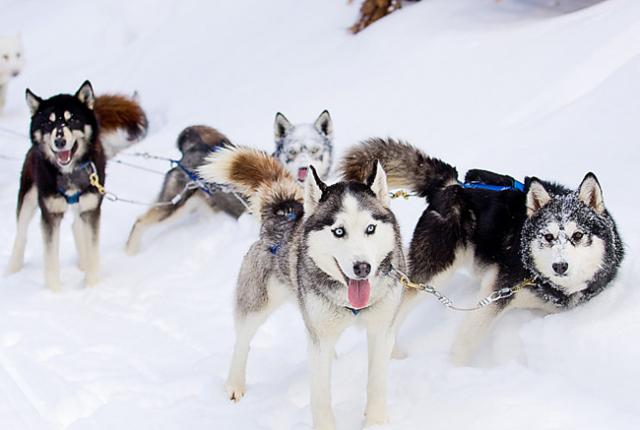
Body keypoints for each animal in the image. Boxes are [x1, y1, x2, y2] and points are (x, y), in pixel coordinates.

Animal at [5, 80, 106, 292]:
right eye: (49, 123)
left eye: (72, 119)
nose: (60, 141)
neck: (69, 173)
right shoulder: (50, 214)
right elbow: (51, 260)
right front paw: (54, 293)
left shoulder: (91, 209)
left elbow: (92, 251)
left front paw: (92, 286)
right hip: (28, 196)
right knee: (21, 234)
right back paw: (13, 268)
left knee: (76, 227)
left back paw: (83, 264)